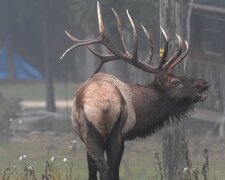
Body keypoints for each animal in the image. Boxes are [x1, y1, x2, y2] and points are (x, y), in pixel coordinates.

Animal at [60, 1, 209, 180]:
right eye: (176, 82)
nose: (204, 82)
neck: (139, 112)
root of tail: (104, 104)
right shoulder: (121, 136)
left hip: (97, 135)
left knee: (105, 169)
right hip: (109, 135)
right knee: (109, 169)